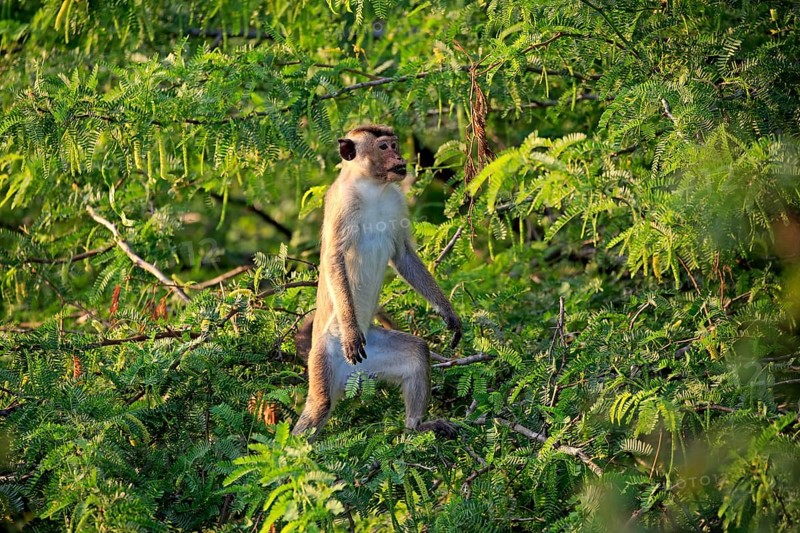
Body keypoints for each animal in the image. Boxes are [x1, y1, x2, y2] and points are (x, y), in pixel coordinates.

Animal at [291, 124, 462, 439]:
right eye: (383, 147)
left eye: (394, 144)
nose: (399, 157)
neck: (372, 188)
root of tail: (347, 378)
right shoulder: (342, 203)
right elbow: (334, 259)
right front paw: (350, 331)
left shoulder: (395, 200)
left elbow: (403, 254)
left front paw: (448, 313)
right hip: (324, 358)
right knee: (319, 406)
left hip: (370, 354)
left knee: (416, 352)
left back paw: (416, 426)